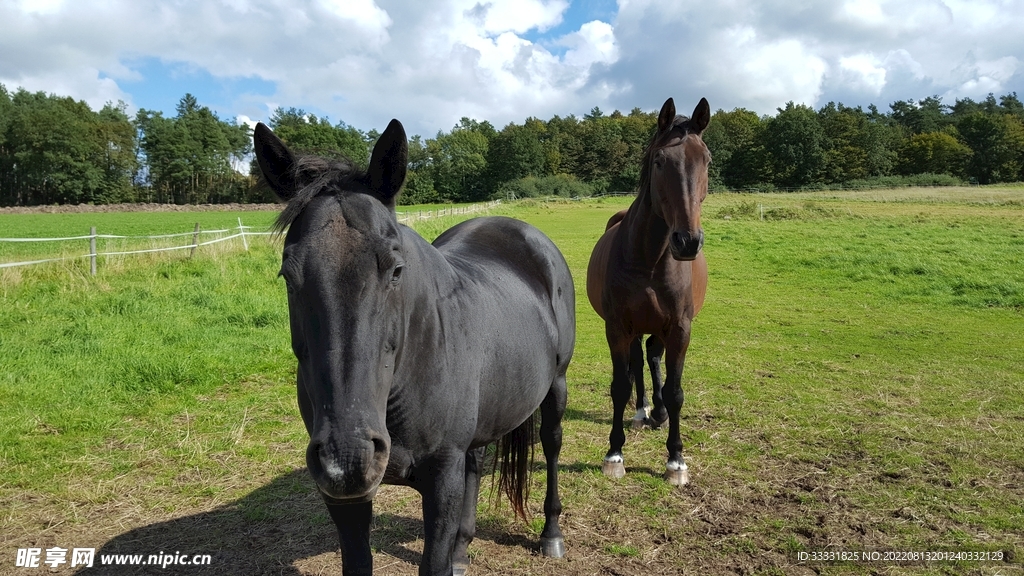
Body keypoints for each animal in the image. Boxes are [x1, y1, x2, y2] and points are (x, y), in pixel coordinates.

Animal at [253, 119, 575, 576]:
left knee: (551, 444)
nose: (348, 455)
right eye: (288, 275)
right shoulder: (342, 496)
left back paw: (551, 534)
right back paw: (463, 549)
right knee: (477, 460)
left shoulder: (441, 479)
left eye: (396, 269)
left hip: (556, 386)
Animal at [585, 97, 710, 486]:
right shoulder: (617, 327)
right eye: (659, 161)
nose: (687, 241)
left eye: (706, 160)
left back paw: (657, 412)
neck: (651, 258)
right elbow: (620, 386)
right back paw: (643, 411)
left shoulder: (681, 328)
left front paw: (676, 460)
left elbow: (675, 391)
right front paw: (614, 454)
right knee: (640, 361)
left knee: (653, 358)